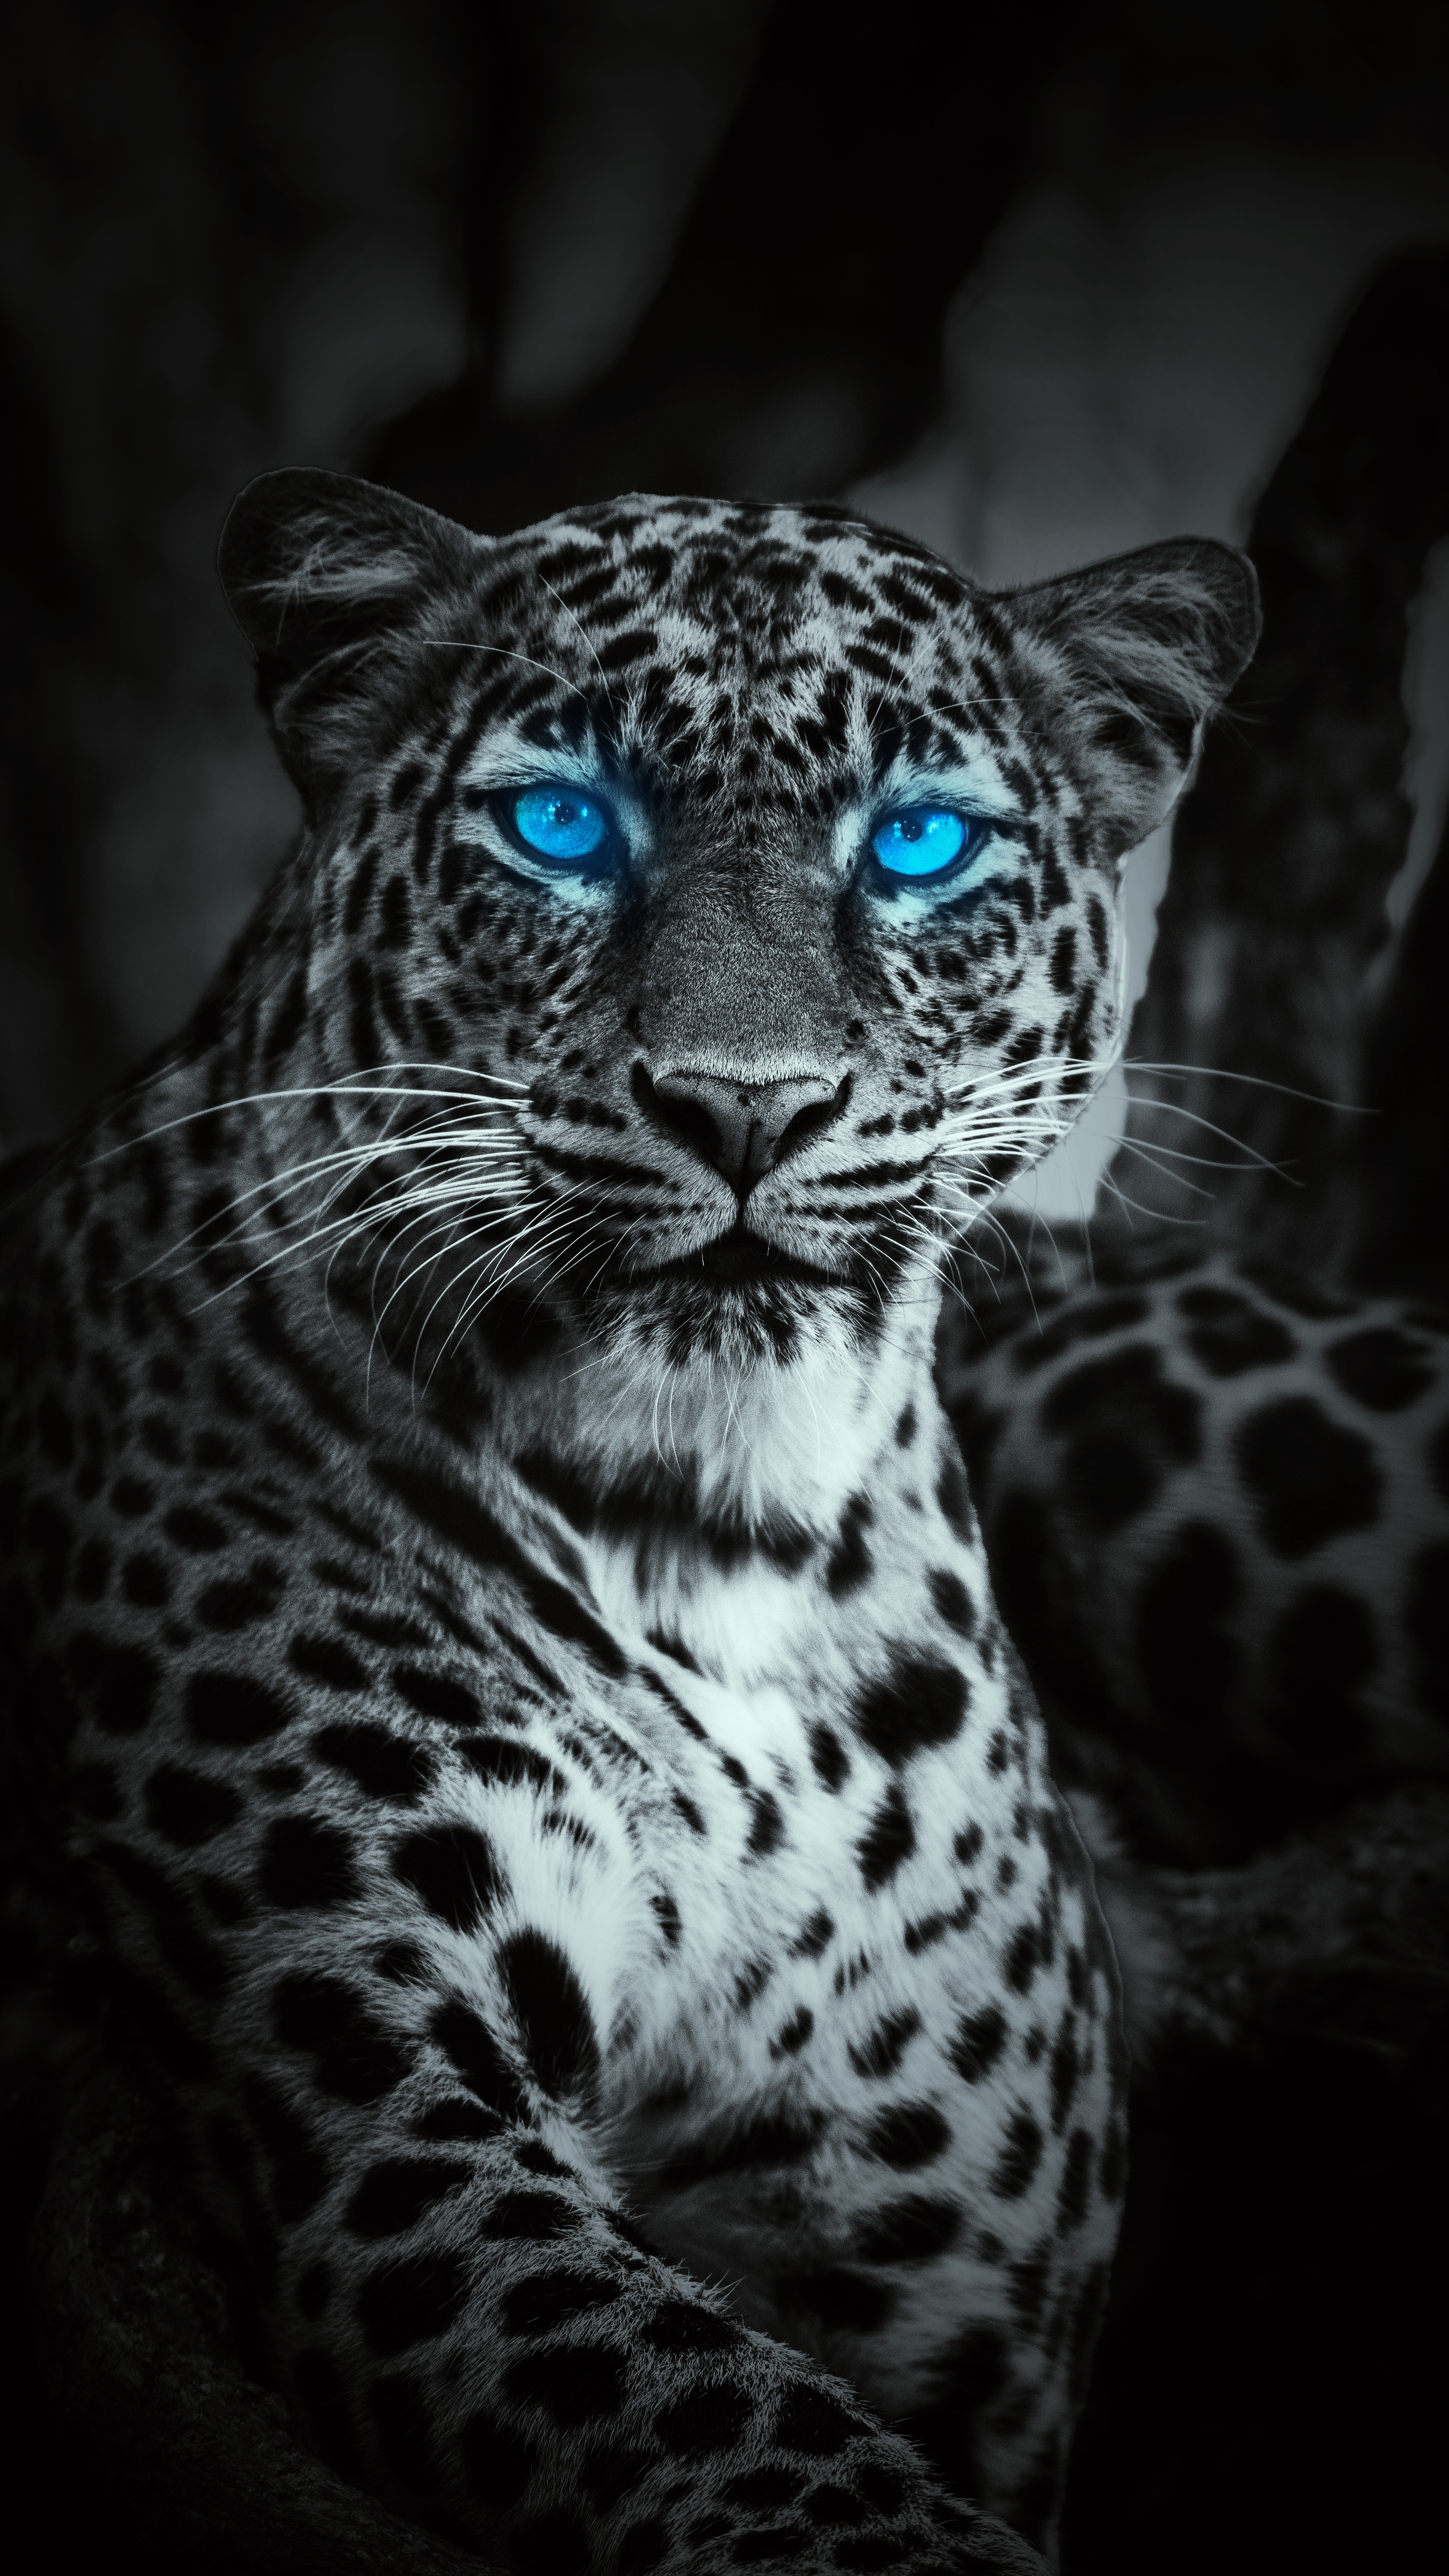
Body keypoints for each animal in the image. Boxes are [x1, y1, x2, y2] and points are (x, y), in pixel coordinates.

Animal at [0, 466, 1259, 2573]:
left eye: (918, 844)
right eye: (562, 824)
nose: (744, 1107)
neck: (719, 1528)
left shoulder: (947, 2281)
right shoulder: (386, 2138)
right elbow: (767, 2452)